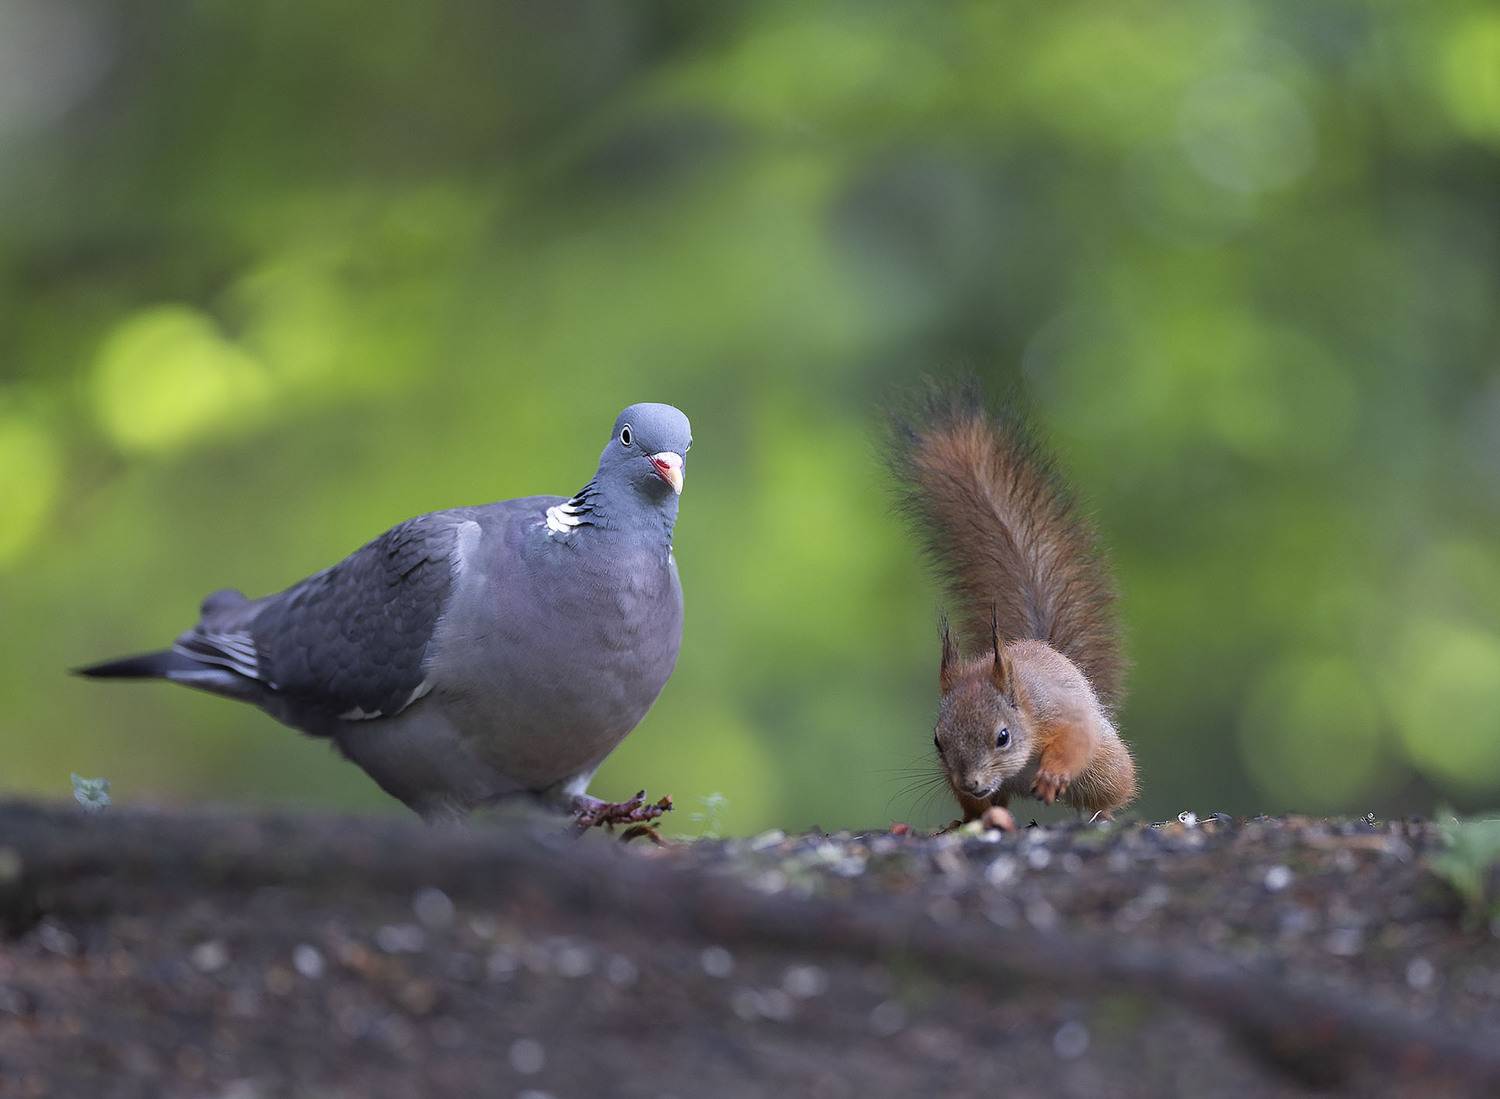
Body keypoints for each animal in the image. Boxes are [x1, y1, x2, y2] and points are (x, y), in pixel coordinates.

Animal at [888, 381, 1138, 826]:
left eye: (1002, 736)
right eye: (937, 740)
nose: (970, 781)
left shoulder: (1059, 713)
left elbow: (1074, 739)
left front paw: (1053, 775)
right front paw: (966, 819)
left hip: (1105, 767)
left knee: (1109, 789)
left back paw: (1102, 815)